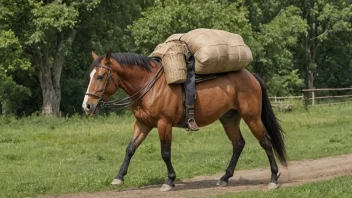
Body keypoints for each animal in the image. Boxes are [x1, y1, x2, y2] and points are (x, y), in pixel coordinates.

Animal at [82, 51, 286, 192]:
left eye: (100, 76)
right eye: (90, 76)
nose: (87, 106)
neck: (149, 85)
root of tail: (251, 77)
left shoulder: (164, 124)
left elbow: (165, 153)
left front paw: (170, 180)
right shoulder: (143, 124)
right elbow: (130, 148)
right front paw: (119, 177)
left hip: (252, 117)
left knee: (266, 142)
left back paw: (273, 179)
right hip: (229, 118)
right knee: (238, 144)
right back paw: (225, 177)